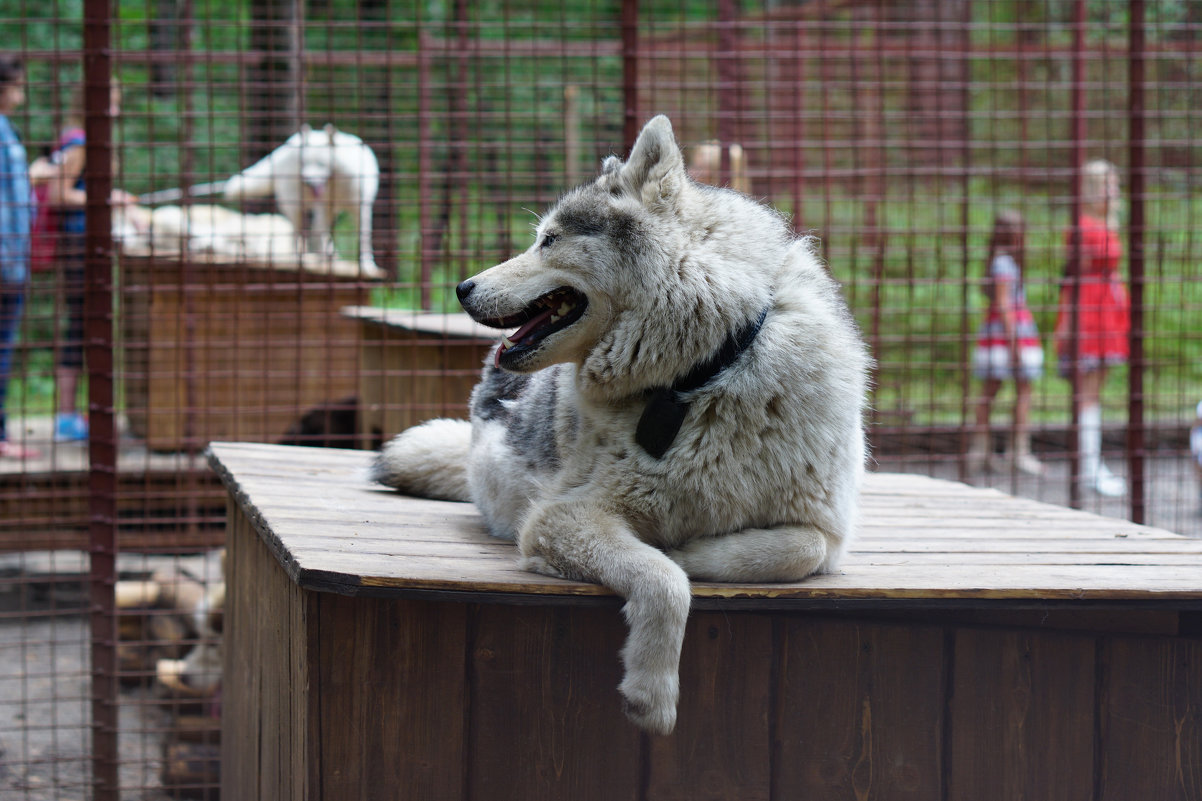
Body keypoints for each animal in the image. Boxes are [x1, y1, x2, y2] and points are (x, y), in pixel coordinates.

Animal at [223, 123, 377, 274]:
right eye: (304, 163)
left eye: (321, 164)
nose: (306, 181)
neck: (336, 187)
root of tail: (288, 144)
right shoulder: (323, 207)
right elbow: (318, 233)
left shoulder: (361, 207)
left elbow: (364, 238)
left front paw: (367, 265)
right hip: (296, 207)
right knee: (298, 233)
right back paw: (299, 258)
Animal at [370, 115, 870, 731]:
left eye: (550, 240)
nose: (461, 288)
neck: (699, 376)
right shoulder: (564, 517)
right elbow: (663, 579)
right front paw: (651, 694)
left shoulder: (827, 530)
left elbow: (794, 553)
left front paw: (692, 552)